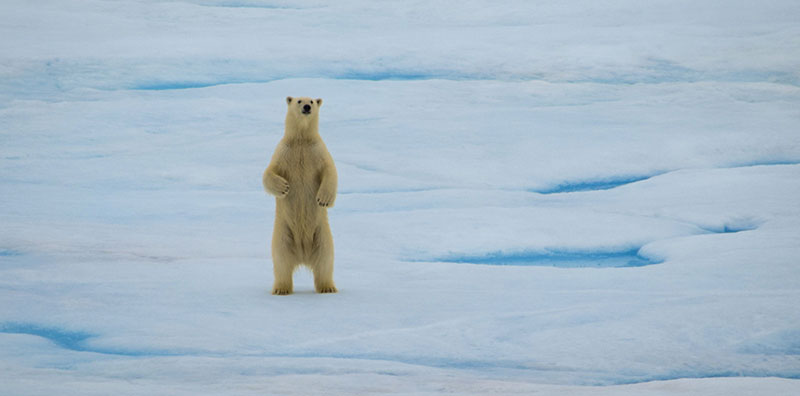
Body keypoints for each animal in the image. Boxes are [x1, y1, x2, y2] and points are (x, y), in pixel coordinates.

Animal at [262, 96, 338, 294]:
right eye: (298, 101)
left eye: (312, 101)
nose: (306, 107)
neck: (302, 140)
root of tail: (303, 255)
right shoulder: (283, 151)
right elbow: (268, 172)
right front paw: (283, 187)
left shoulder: (318, 151)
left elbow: (330, 170)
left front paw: (323, 199)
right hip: (283, 233)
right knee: (281, 260)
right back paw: (281, 289)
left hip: (322, 233)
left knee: (325, 259)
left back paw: (328, 287)